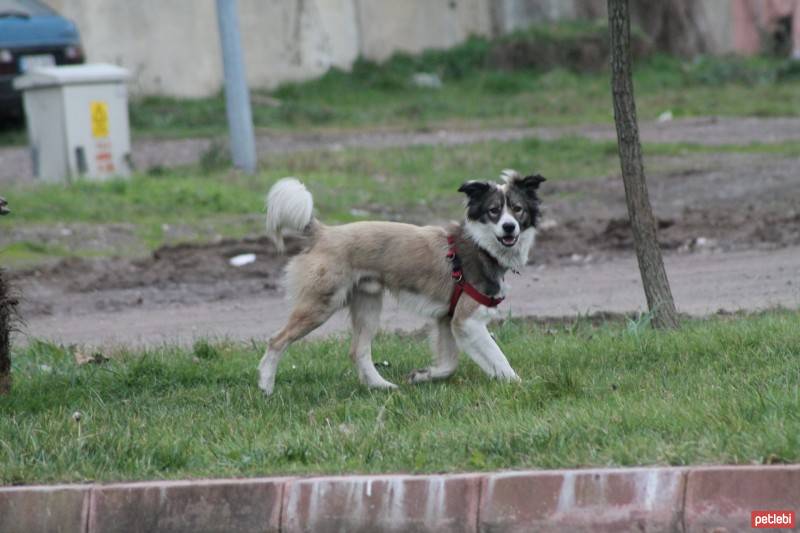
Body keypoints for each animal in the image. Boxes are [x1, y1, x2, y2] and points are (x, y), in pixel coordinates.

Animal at [260, 168, 548, 392]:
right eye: (493, 211)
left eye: (518, 209)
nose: (509, 227)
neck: (481, 245)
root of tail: (323, 233)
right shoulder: (467, 321)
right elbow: (499, 359)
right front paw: (519, 384)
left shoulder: (447, 320)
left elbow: (449, 364)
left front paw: (422, 376)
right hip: (320, 305)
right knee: (276, 340)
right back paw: (266, 387)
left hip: (368, 305)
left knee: (358, 350)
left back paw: (382, 386)